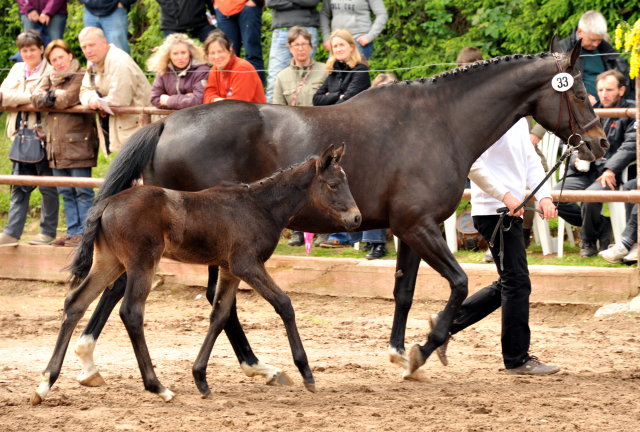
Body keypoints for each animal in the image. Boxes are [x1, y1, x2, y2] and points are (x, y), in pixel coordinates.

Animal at [33, 146, 360, 404]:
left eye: (344, 181)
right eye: (333, 184)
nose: (356, 217)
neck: (260, 206)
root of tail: (107, 204)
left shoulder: (229, 269)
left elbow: (220, 314)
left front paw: (201, 378)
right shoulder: (247, 264)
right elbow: (284, 304)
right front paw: (306, 372)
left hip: (109, 262)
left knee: (75, 303)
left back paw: (46, 383)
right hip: (142, 262)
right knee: (130, 312)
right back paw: (158, 387)